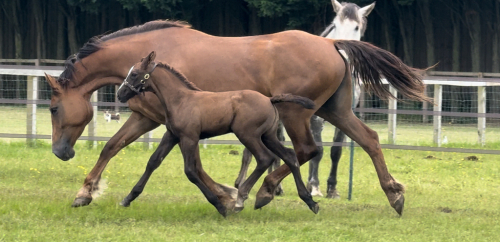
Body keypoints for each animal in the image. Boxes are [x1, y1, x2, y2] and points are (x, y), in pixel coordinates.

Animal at [117, 51, 318, 216]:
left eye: (134, 74)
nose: (120, 94)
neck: (179, 99)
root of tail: (269, 99)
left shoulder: (189, 137)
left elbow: (190, 171)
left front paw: (220, 206)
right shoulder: (172, 136)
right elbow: (153, 162)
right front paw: (127, 199)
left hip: (248, 135)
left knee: (264, 158)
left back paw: (241, 199)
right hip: (267, 136)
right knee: (290, 156)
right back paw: (309, 201)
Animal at [306, 0, 376, 198]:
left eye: (356, 27)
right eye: (335, 25)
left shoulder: (344, 115)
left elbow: (335, 151)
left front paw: (332, 188)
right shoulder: (315, 117)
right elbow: (319, 150)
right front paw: (315, 187)